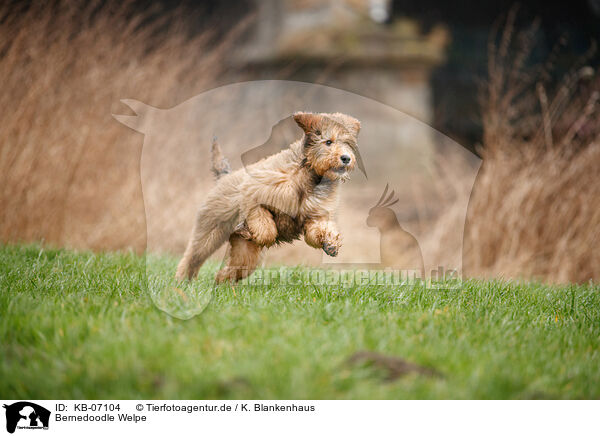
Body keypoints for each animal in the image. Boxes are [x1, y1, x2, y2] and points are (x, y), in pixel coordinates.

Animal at [173, 112, 360, 282]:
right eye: (328, 142)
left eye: (348, 143)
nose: (346, 158)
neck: (309, 176)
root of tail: (224, 176)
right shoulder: (255, 193)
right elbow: (264, 224)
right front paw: (257, 232)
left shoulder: (316, 215)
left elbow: (320, 229)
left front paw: (331, 243)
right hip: (209, 232)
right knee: (192, 257)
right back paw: (182, 281)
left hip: (245, 257)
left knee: (228, 272)